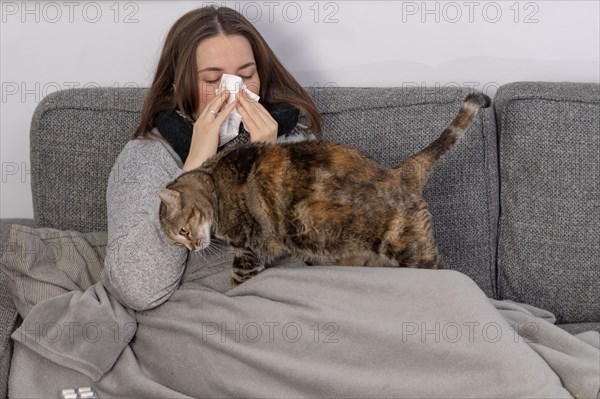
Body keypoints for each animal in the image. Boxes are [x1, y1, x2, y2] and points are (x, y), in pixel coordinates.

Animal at [159, 93, 492, 288]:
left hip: (413, 253)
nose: (191, 248)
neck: (214, 182)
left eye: (183, 231)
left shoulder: (248, 249)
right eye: (177, 240)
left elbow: (238, 281)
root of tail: (401, 172)